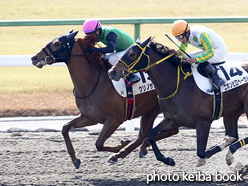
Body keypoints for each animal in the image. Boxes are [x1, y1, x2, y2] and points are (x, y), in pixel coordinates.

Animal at [30, 31, 161, 169]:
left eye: (56, 43)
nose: (34, 58)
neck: (94, 83)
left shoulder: (114, 119)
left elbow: (98, 144)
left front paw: (121, 144)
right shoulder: (89, 117)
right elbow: (65, 128)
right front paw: (75, 159)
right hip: (151, 109)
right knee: (143, 134)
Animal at [108, 37, 248, 166]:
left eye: (132, 53)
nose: (111, 72)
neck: (179, 86)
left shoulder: (204, 122)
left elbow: (201, 152)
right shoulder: (173, 119)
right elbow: (151, 135)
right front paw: (167, 160)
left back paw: (230, 151)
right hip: (232, 111)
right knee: (233, 135)